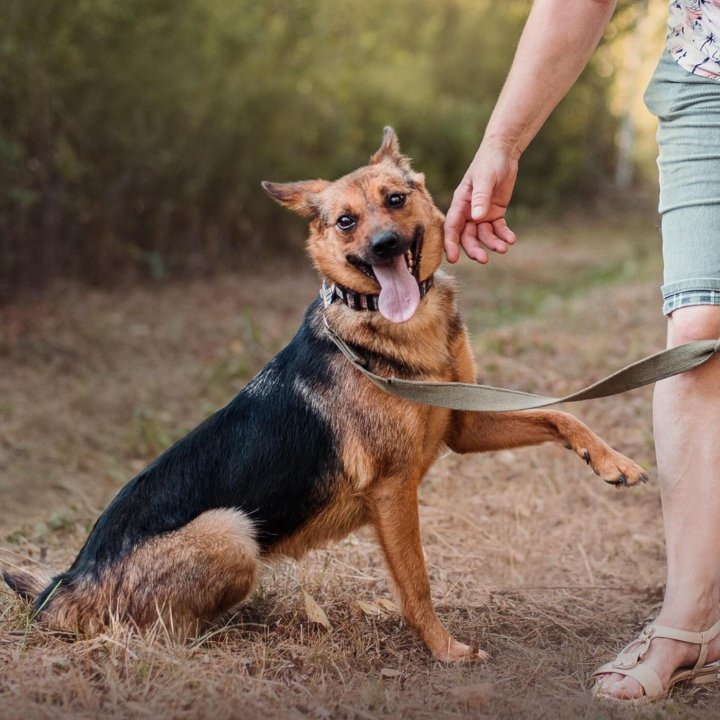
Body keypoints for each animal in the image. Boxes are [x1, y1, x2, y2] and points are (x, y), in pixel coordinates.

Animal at [4, 126, 648, 660]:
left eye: (395, 200)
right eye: (345, 222)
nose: (385, 245)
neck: (390, 325)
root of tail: (68, 583)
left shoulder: (464, 427)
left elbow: (559, 417)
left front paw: (611, 460)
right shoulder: (393, 492)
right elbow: (417, 585)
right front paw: (445, 651)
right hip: (230, 530)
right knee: (150, 631)